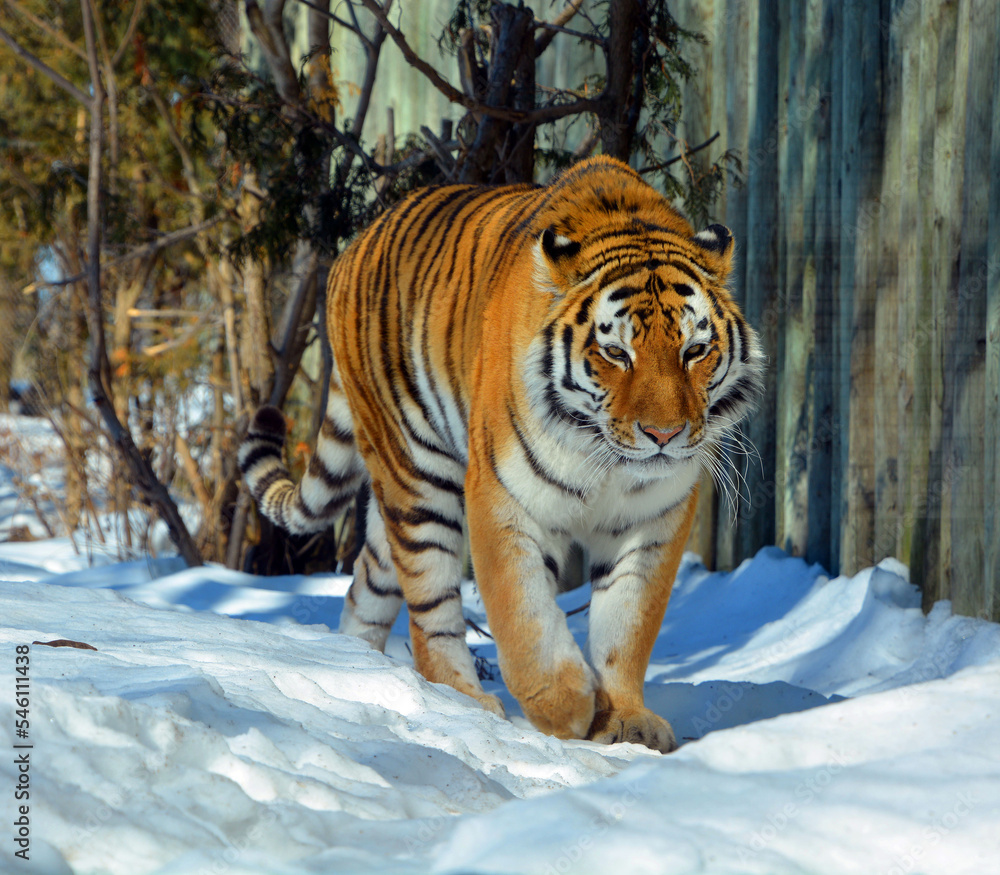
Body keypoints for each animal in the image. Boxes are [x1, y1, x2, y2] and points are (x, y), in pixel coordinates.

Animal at [239, 156, 765, 753]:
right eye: (616, 353)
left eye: (695, 350)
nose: (664, 434)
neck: (604, 458)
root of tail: (356, 244)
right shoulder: (502, 497)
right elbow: (524, 616)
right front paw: (568, 707)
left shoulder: (654, 518)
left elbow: (627, 626)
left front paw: (628, 719)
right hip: (418, 477)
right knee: (429, 603)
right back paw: (461, 700)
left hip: (392, 508)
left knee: (369, 581)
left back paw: (358, 671)